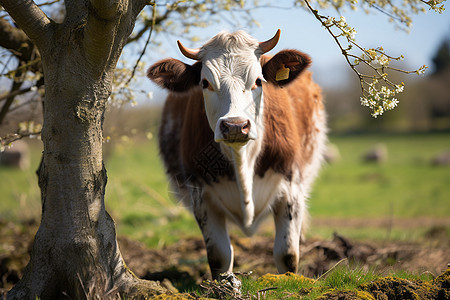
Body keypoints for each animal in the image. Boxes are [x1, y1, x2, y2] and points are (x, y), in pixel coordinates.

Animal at [148, 29, 326, 278]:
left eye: (258, 81)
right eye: (205, 82)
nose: (234, 125)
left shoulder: (292, 188)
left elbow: (287, 254)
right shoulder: (201, 195)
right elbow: (219, 256)